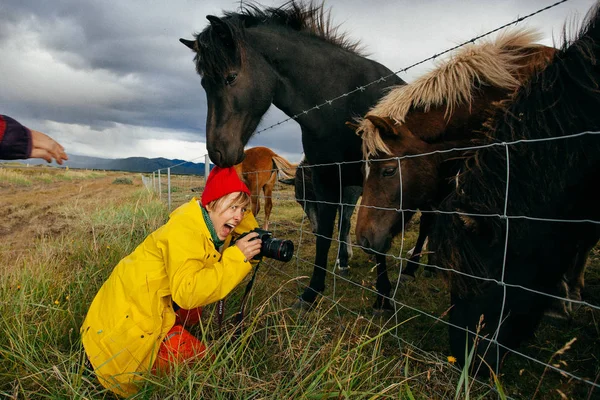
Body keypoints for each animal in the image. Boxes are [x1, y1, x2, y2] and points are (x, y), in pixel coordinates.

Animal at [180, 0, 406, 310]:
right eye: (204, 85)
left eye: (231, 77)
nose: (217, 152)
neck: (338, 102)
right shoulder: (325, 177)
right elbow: (324, 233)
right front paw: (312, 292)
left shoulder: (379, 177)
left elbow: (377, 236)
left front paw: (383, 295)